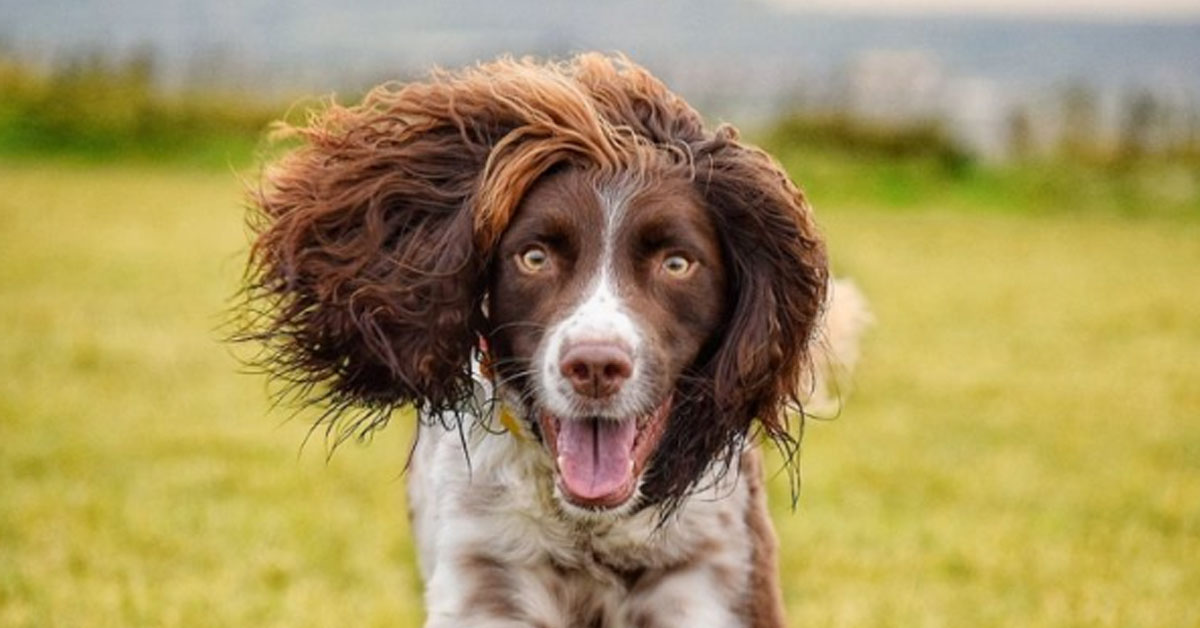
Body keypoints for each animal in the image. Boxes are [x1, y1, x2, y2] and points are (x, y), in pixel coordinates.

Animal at [238, 52, 868, 628]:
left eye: (678, 263)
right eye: (534, 257)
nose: (594, 366)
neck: (591, 531)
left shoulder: (710, 586)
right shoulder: (484, 582)